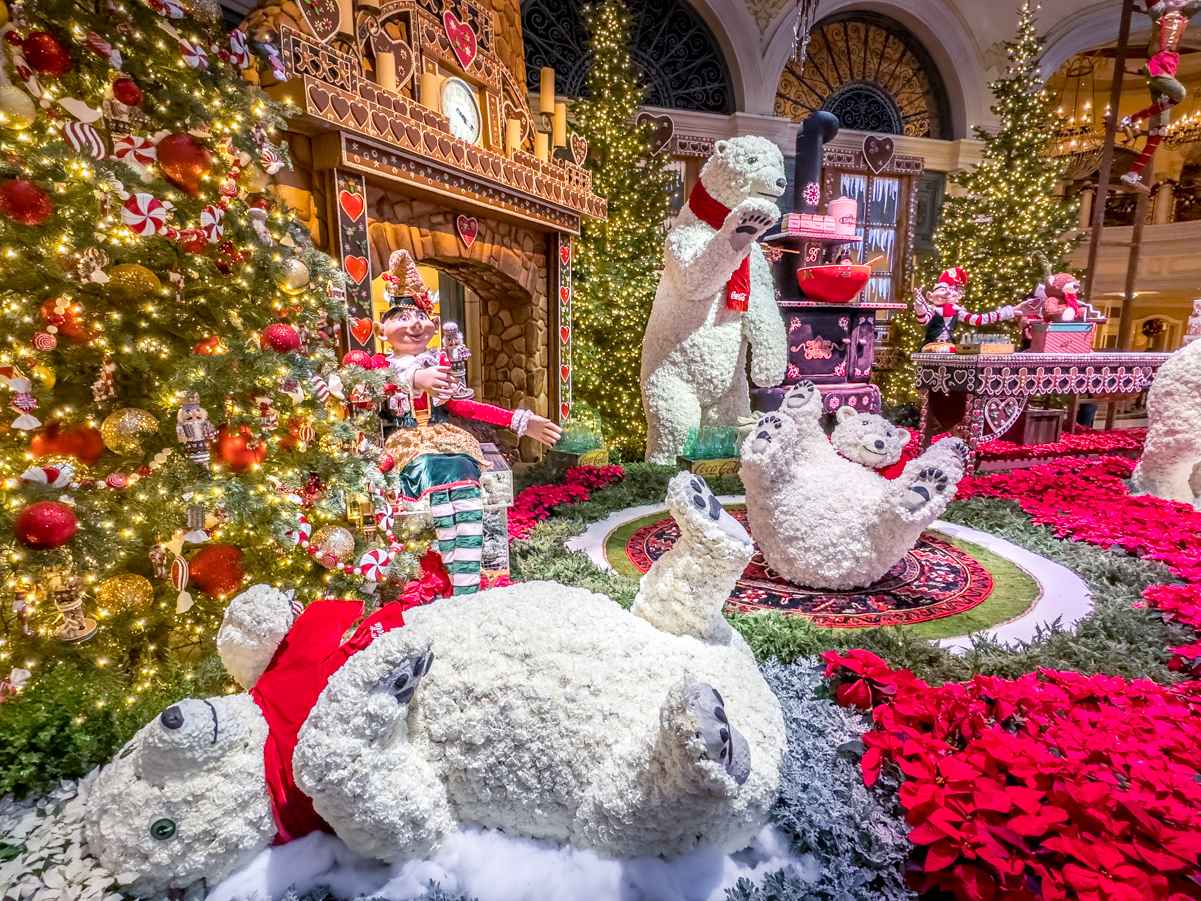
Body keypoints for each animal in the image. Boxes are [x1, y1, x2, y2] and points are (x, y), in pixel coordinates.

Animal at [82, 473, 778, 898]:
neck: (272, 721)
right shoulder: (336, 811)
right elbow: (385, 803)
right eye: (163, 830)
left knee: (678, 602)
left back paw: (706, 513)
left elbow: (262, 629)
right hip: (642, 820)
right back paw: (704, 739)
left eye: (130, 749)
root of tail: (766, 722)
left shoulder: (290, 662)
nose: (175, 717)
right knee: (651, 803)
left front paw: (266, 609)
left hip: (693, 636)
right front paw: (385, 679)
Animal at [643, 135, 792, 466]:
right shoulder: (682, 240)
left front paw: (768, 372)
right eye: (751, 160)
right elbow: (697, 274)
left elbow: (764, 312)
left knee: (723, 419)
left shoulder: (757, 268)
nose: (780, 181)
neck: (710, 217)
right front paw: (746, 223)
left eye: (778, 162)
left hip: (733, 390)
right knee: (674, 421)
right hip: (669, 377)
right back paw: (662, 462)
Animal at [735, 382, 970, 593]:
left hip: (879, 543)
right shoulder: (817, 452)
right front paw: (799, 398)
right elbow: (808, 436)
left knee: (895, 519)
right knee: (763, 474)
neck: (861, 464)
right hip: (771, 505)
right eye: (864, 423)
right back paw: (769, 431)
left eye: (888, 435)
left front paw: (954, 449)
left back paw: (923, 487)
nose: (879, 444)